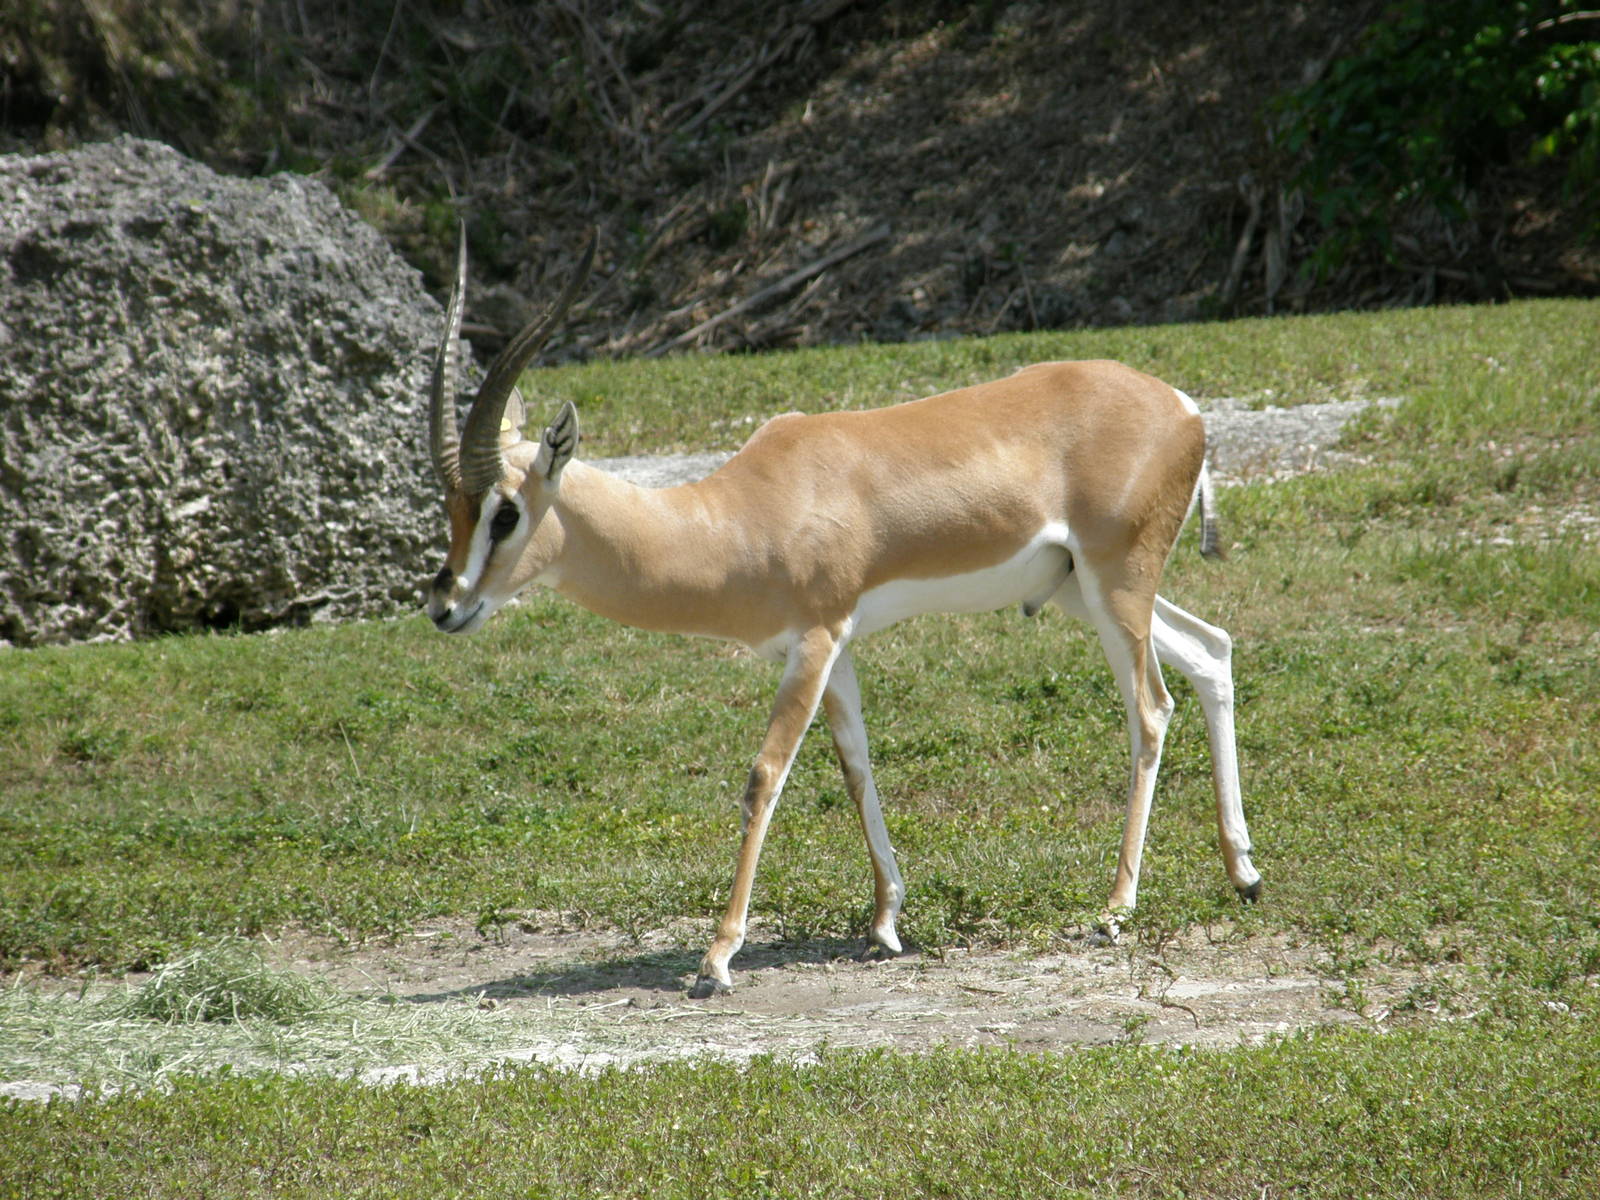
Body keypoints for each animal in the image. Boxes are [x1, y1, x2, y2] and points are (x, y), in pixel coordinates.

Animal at [424, 230, 1260, 998]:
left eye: (505, 511)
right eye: (452, 506)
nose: (446, 605)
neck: (738, 516)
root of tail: (1185, 407)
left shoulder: (815, 640)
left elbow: (766, 774)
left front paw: (716, 959)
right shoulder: (837, 648)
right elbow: (856, 764)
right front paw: (886, 922)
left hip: (1117, 585)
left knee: (1151, 708)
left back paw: (1114, 909)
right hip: (1081, 589)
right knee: (1212, 649)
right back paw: (1243, 874)